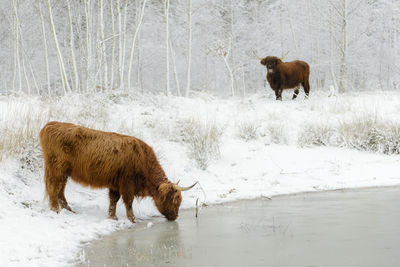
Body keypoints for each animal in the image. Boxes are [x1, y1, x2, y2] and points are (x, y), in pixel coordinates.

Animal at [39, 122, 197, 223]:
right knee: (54, 187)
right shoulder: (127, 183)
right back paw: (56, 210)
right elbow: (128, 201)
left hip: (64, 172)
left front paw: (112, 217)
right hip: (57, 168)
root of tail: (50, 124)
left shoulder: (114, 184)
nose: (175, 217)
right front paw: (132, 219)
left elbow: (113, 200)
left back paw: (69, 210)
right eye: (174, 199)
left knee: (60, 190)